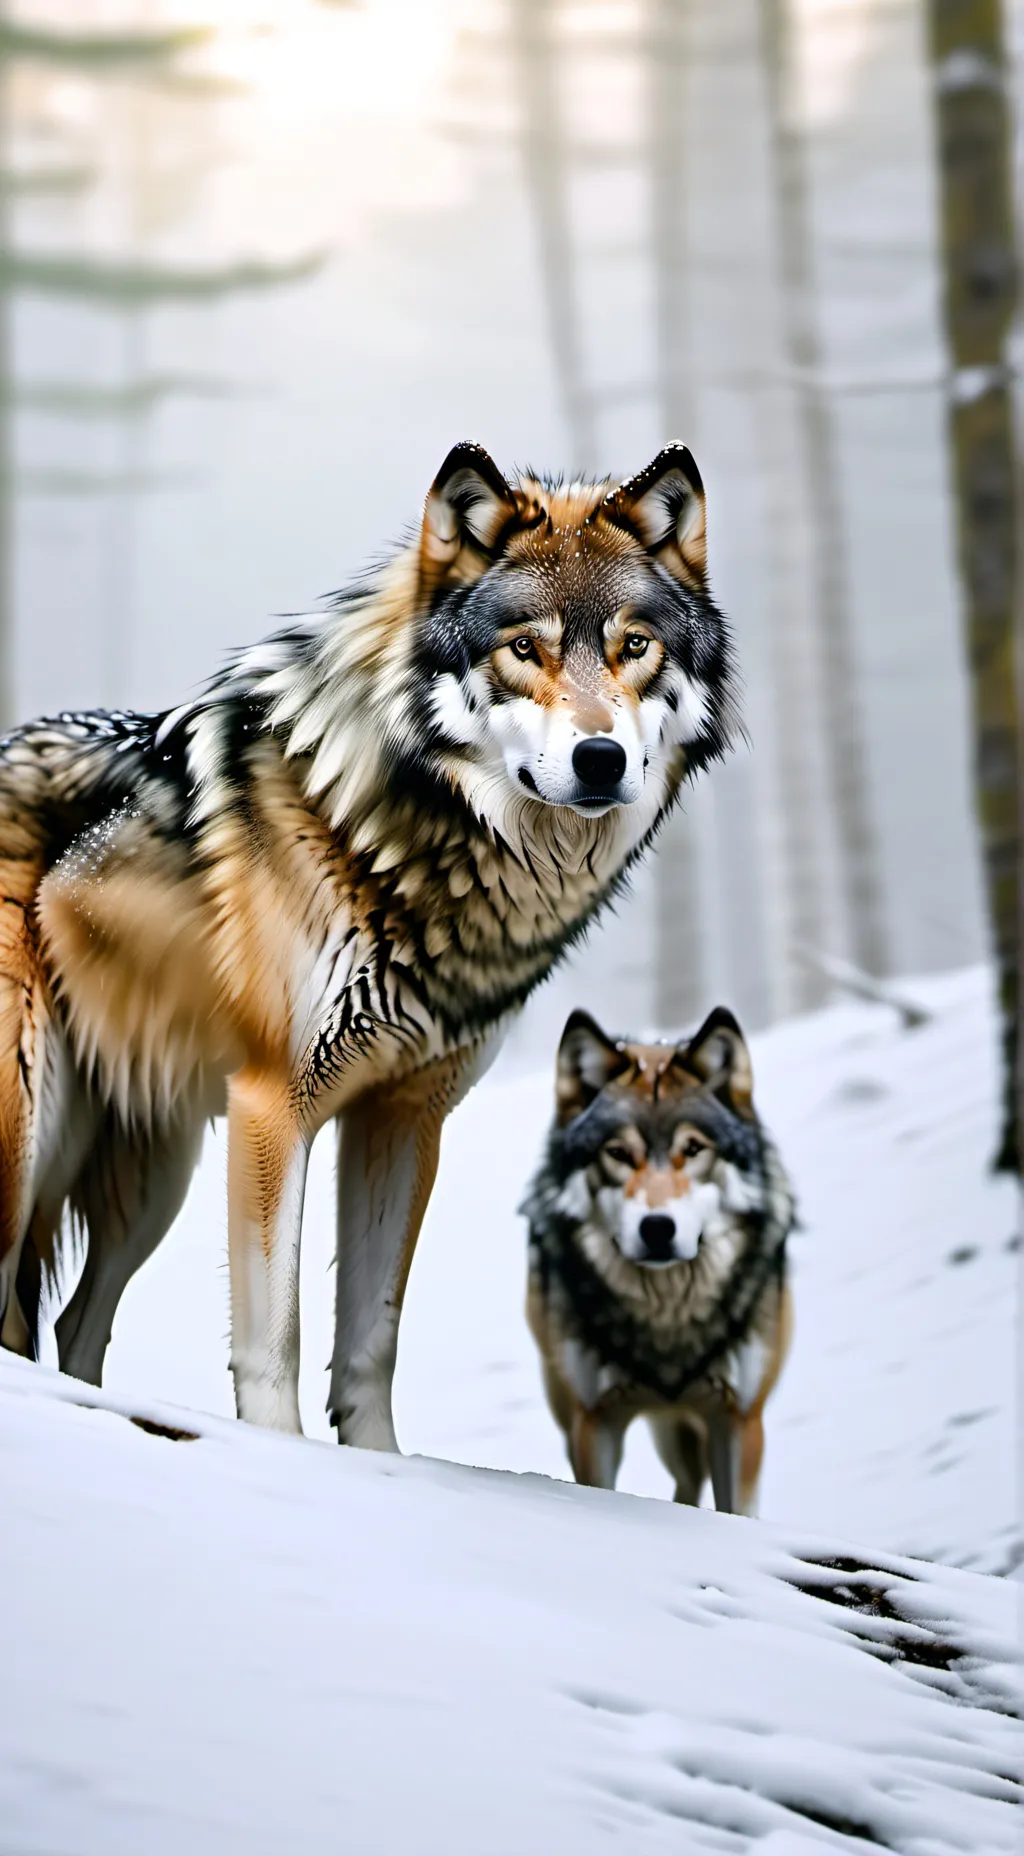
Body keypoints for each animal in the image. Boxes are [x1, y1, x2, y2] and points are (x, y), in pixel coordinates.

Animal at [0, 441, 737, 1448]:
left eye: (634, 645)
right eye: (524, 648)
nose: (601, 761)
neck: (383, 834)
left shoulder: (404, 1118)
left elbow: (370, 1339)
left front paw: (381, 1465)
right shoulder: (275, 1107)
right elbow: (273, 1341)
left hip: (154, 1176)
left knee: (76, 1324)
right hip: (30, 1134)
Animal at [523, 1006, 794, 1512]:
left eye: (693, 1149)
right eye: (617, 1153)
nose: (657, 1229)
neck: (667, 1318)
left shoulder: (739, 1420)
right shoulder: (596, 1422)